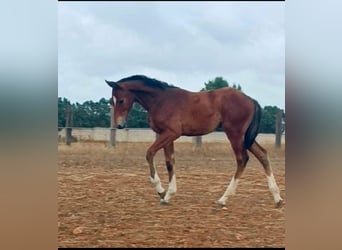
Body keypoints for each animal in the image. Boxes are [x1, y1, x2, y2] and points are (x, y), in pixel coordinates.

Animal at [106, 74, 284, 207]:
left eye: (121, 100)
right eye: (111, 101)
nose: (120, 125)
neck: (161, 100)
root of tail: (251, 99)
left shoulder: (171, 133)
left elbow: (150, 153)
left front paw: (161, 191)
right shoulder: (166, 135)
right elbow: (170, 162)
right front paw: (168, 195)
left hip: (235, 133)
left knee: (242, 159)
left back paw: (223, 199)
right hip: (246, 137)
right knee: (262, 155)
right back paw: (277, 198)